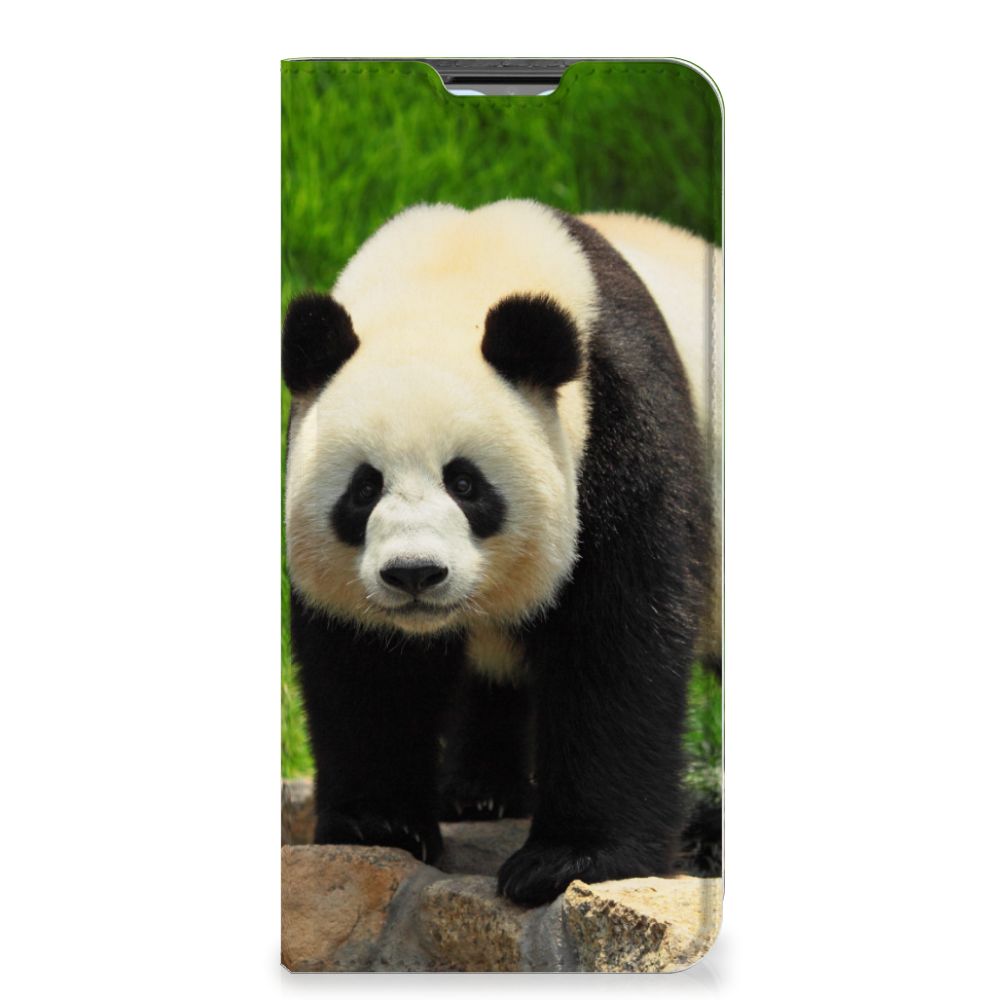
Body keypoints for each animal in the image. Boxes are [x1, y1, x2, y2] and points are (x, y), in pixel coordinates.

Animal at [283, 199, 720, 907]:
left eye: (465, 483)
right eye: (364, 488)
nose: (414, 574)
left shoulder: (620, 426)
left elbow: (617, 640)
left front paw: (568, 860)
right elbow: (366, 665)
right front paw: (379, 826)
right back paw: (479, 793)